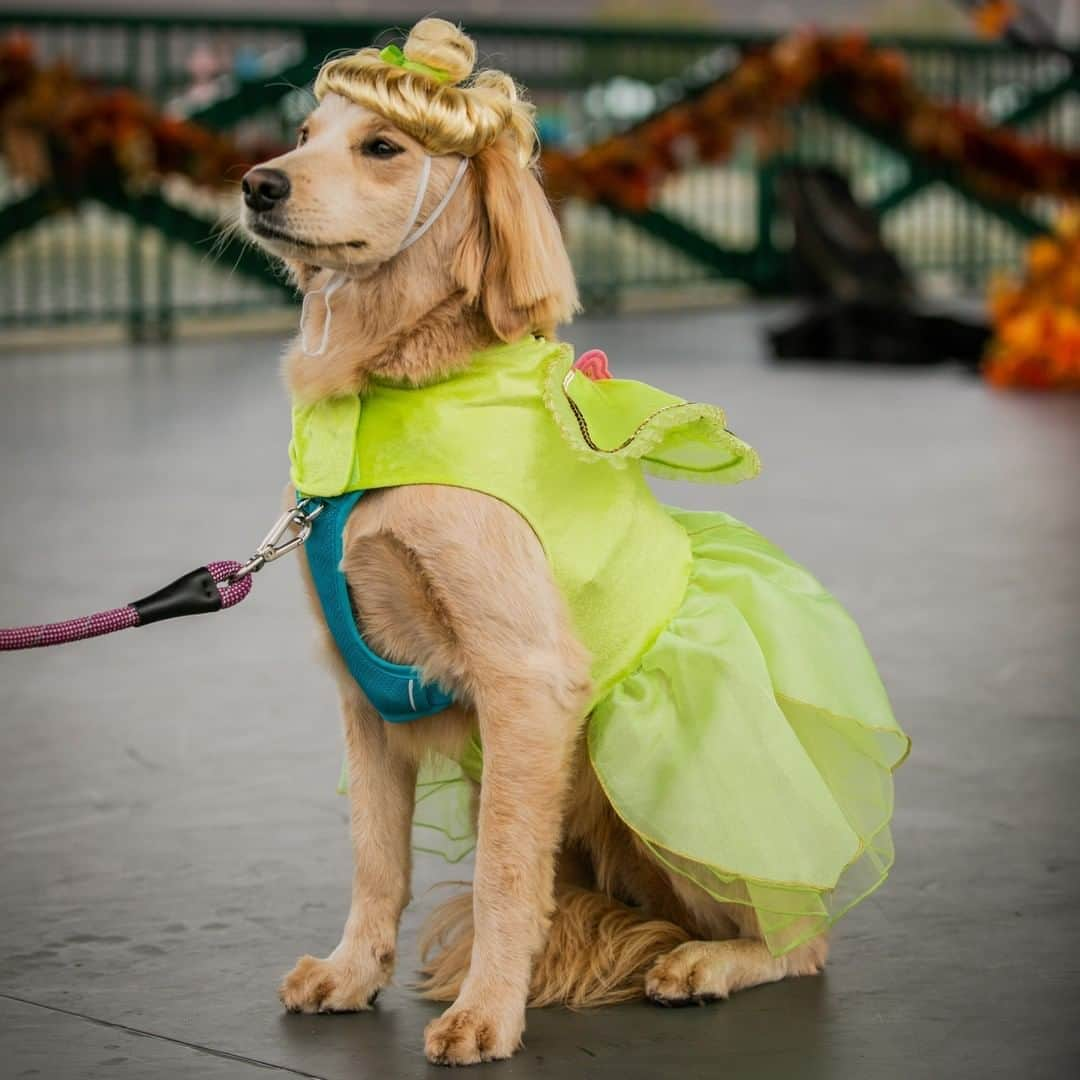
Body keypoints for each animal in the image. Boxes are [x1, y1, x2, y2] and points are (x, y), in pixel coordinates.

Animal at [240, 14, 820, 1062]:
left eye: (383, 146)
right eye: (303, 133)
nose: (257, 183)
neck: (397, 388)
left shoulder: (527, 681)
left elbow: (507, 878)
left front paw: (487, 1012)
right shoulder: (363, 687)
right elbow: (376, 859)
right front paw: (353, 972)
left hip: (656, 796)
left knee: (803, 939)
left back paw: (709, 963)